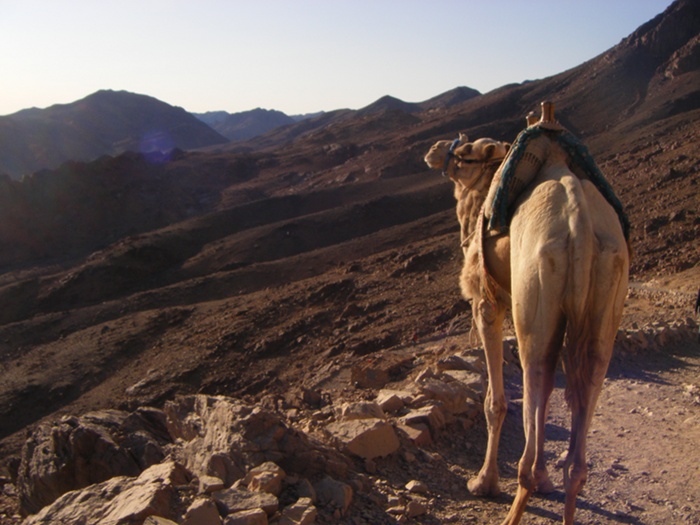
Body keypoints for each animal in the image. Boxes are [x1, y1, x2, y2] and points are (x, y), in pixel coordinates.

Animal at [424, 103, 629, 525]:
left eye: (466, 151)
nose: (435, 149)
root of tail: (581, 227)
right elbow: (547, 397)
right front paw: (545, 477)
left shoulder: (488, 302)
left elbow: (496, 402)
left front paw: (483, 482)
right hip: (608, 291)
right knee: (582, 387)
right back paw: (561, 483)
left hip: (534, 291)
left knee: (534, 370)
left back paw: (517, 496)